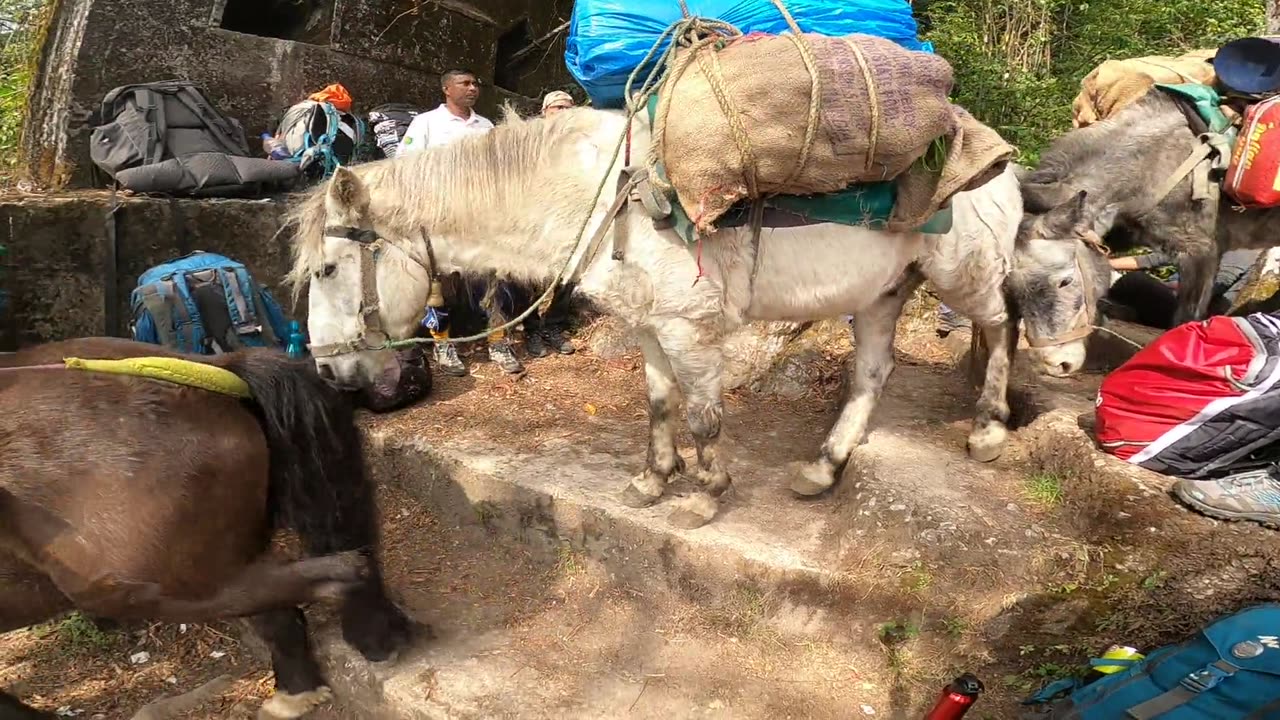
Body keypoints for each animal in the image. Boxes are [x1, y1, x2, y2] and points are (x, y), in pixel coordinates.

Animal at [288, 109, 1018, 530]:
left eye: (326, 270)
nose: (331, 372)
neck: (604, 197)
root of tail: (1003, 163)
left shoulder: (688, 328)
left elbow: (703, 416)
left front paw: (705, 494)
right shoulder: (649, 327)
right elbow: (661, 404)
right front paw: (653, 480)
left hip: (963, 274)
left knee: (1003, 322)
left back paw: (988, 428)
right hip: (880, 294)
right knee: (872, 374)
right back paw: (824, 467)